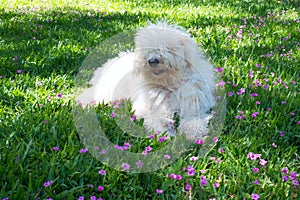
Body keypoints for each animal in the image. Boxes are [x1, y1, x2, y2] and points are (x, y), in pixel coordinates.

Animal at [79, 21, 216, 140]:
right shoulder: (147, 107)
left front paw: (191, 134)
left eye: (168, 48)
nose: (153, 61)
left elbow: (193, 120)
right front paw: (166, 134)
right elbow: (155, 119)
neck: (168, 85)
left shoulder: (193, 104)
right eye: (148, 49)